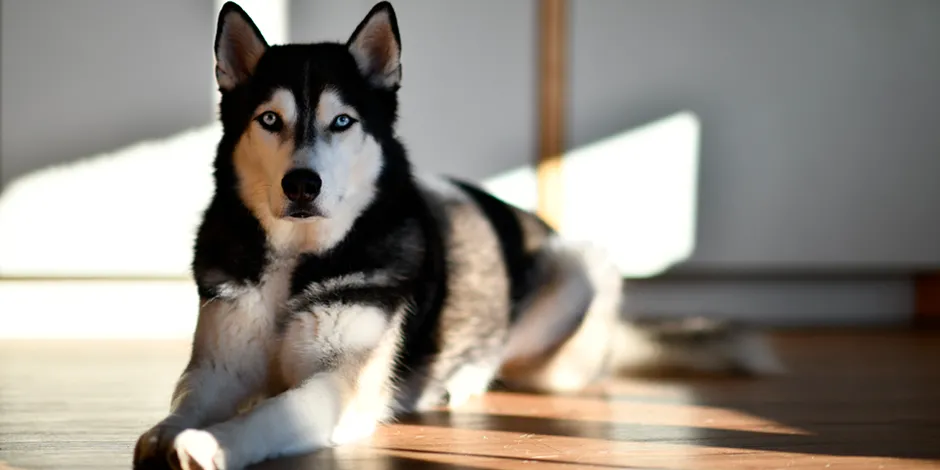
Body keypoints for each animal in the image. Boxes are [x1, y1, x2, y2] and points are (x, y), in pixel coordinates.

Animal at [132, 1, 780, 468]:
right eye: (270, 119)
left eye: (342, 121)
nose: (301, 185)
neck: (300, 262)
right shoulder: (219, 366)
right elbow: (183, 402)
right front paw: (166, 434)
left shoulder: (340, 383)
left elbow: (274, 413)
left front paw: (215, 443)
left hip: (577, 273)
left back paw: (461, 378)